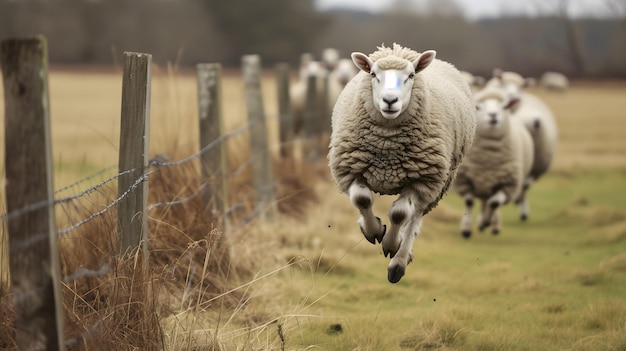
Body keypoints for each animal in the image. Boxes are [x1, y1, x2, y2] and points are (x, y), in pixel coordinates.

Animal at [326, 42, 472, 284]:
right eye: (373, 74)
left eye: (411, 75)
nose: (390, 101)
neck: (387, 142)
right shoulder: (350, 169)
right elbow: (362, 199)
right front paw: (373, 230)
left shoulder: (421, 180)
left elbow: (400, 214)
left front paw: (391, 244)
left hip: (436, 185)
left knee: (414, 217)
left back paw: (399, 262)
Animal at [450, 87, 532, 239]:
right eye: (477, 107)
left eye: (504, 106)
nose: (493, 115)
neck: (488, 158)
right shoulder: (466, 180)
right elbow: (469, 202)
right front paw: (466, 230)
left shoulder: (506, 184)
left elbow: (494, 203)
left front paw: (486, 222)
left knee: (490, 203)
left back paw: (492, 225)